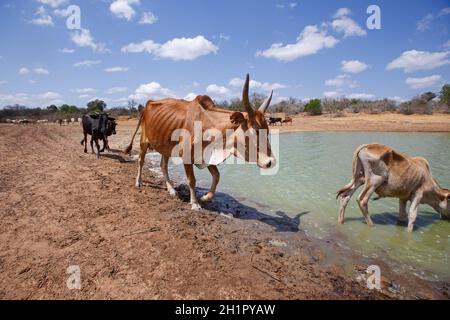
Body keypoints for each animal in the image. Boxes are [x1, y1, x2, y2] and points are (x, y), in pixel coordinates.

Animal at [125, 74, 276, 211]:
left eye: (268, 130)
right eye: (253, 132)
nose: (271, 162)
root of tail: (149, 103)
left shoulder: (206, 155)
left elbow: (217, 176)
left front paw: (205, 197)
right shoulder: (186, 155)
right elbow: (192, 180)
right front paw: (195, 203)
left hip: (165, 147)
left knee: (163, 165)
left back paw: (172, 190)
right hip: (143, 141)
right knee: (141, 161)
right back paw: (138, 182)